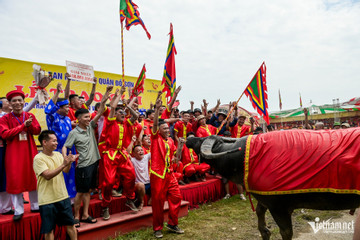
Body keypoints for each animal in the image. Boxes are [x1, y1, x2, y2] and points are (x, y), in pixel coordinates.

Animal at [186, 129, 360, 240]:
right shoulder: (264, 198)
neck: (245, 157)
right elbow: (260, 216)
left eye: (200, 140)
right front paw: (265, 231)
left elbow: (286, 233)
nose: (189, 137)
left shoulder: (279, 208)